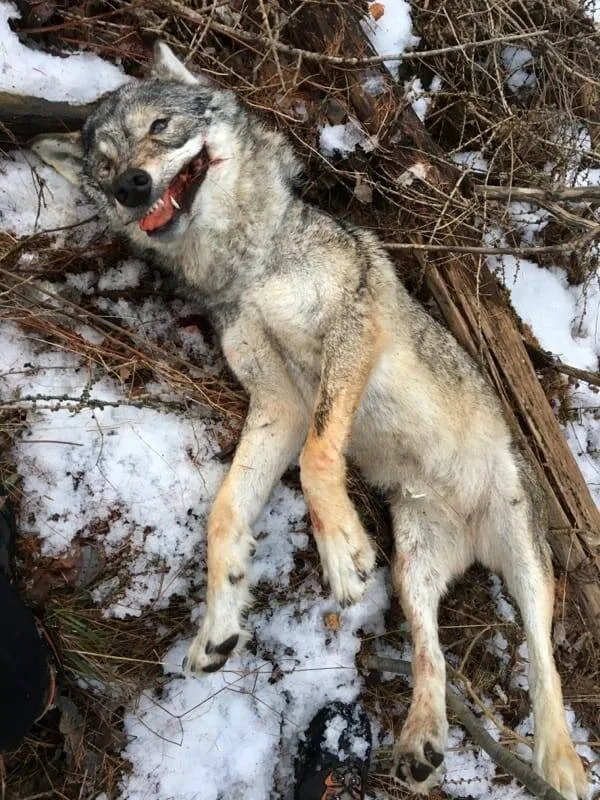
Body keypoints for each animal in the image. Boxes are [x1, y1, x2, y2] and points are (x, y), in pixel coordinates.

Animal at [31, 42, 588, 798]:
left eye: (161, 129)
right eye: (106, 167)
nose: (132, 188)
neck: (248, 267)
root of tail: (472, 536)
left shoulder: (348, 337)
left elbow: (318, 458)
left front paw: (340, 549)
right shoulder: (279, 406)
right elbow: (226, 512)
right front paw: (219, 620)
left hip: (526, 563)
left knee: (543, 660)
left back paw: (559, 763)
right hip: (413, 574)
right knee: (432, 655)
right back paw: (419, 740)